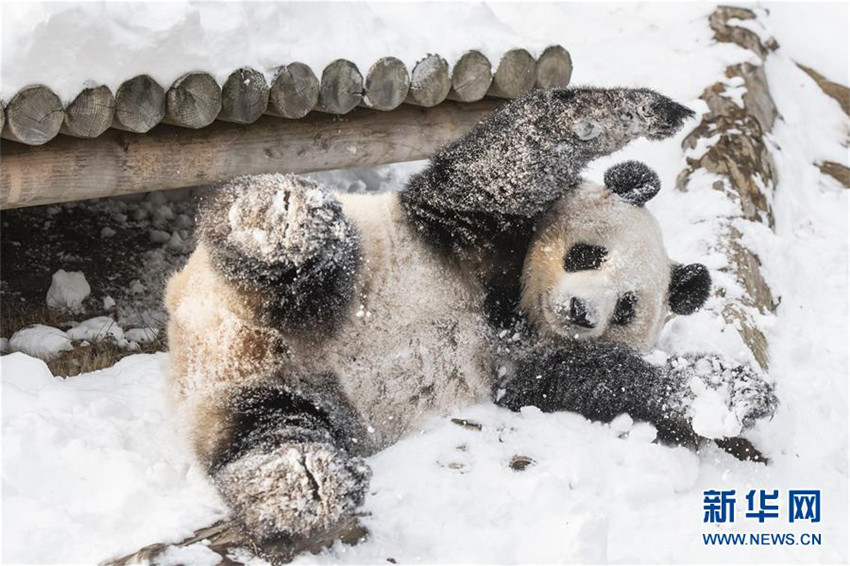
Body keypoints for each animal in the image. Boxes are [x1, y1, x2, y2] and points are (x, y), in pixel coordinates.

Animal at [165, 87, 776, 560]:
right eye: (586, 255)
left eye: (626, 307)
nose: (581, 311)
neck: (510, 307)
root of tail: (216, 342)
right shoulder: (463, 230)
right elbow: (508, 160)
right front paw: (653, 110)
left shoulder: (526, 368)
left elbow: (600, 380)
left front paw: (734, 395)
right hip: (306, 272)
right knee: (295, 243)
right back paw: (283, 222)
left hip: (285, 398)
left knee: (266, 431)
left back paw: (307, 482)